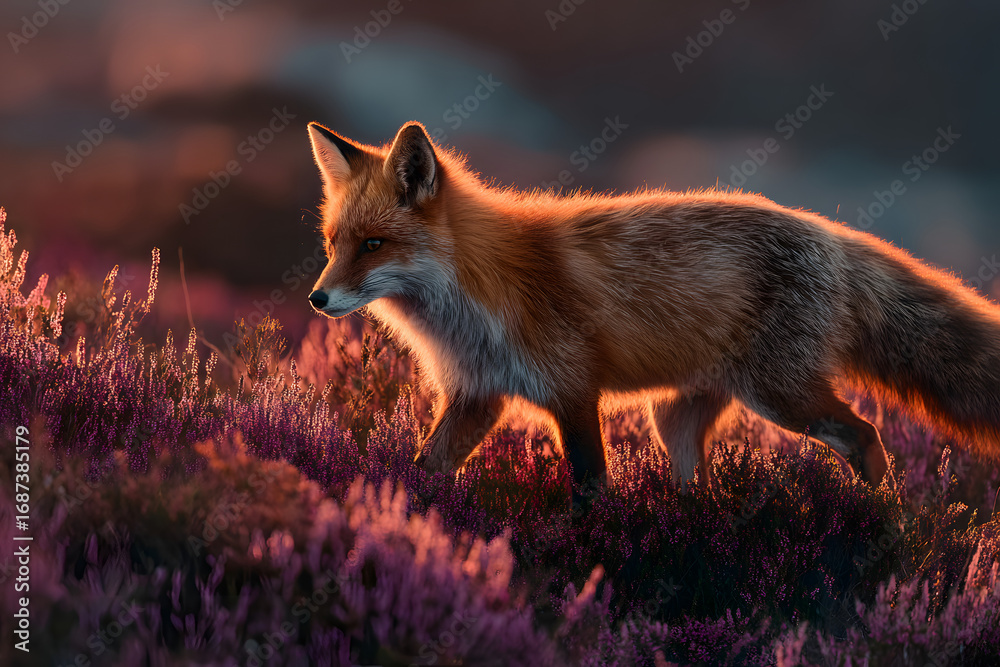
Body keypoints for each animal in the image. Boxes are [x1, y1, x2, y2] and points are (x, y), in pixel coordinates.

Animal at [304, 119, 1000, 496]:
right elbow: (425, 471)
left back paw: (886, 525)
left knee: (866, 437)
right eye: (333, 243)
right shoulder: (477, 396)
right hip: (677, 420)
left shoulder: (571, 393)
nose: (317, 297)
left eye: (373, 245)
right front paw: (405, 522)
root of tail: (830, 230)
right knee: (700, 487)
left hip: (782, 398)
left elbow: (590, 490)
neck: (472, 302)